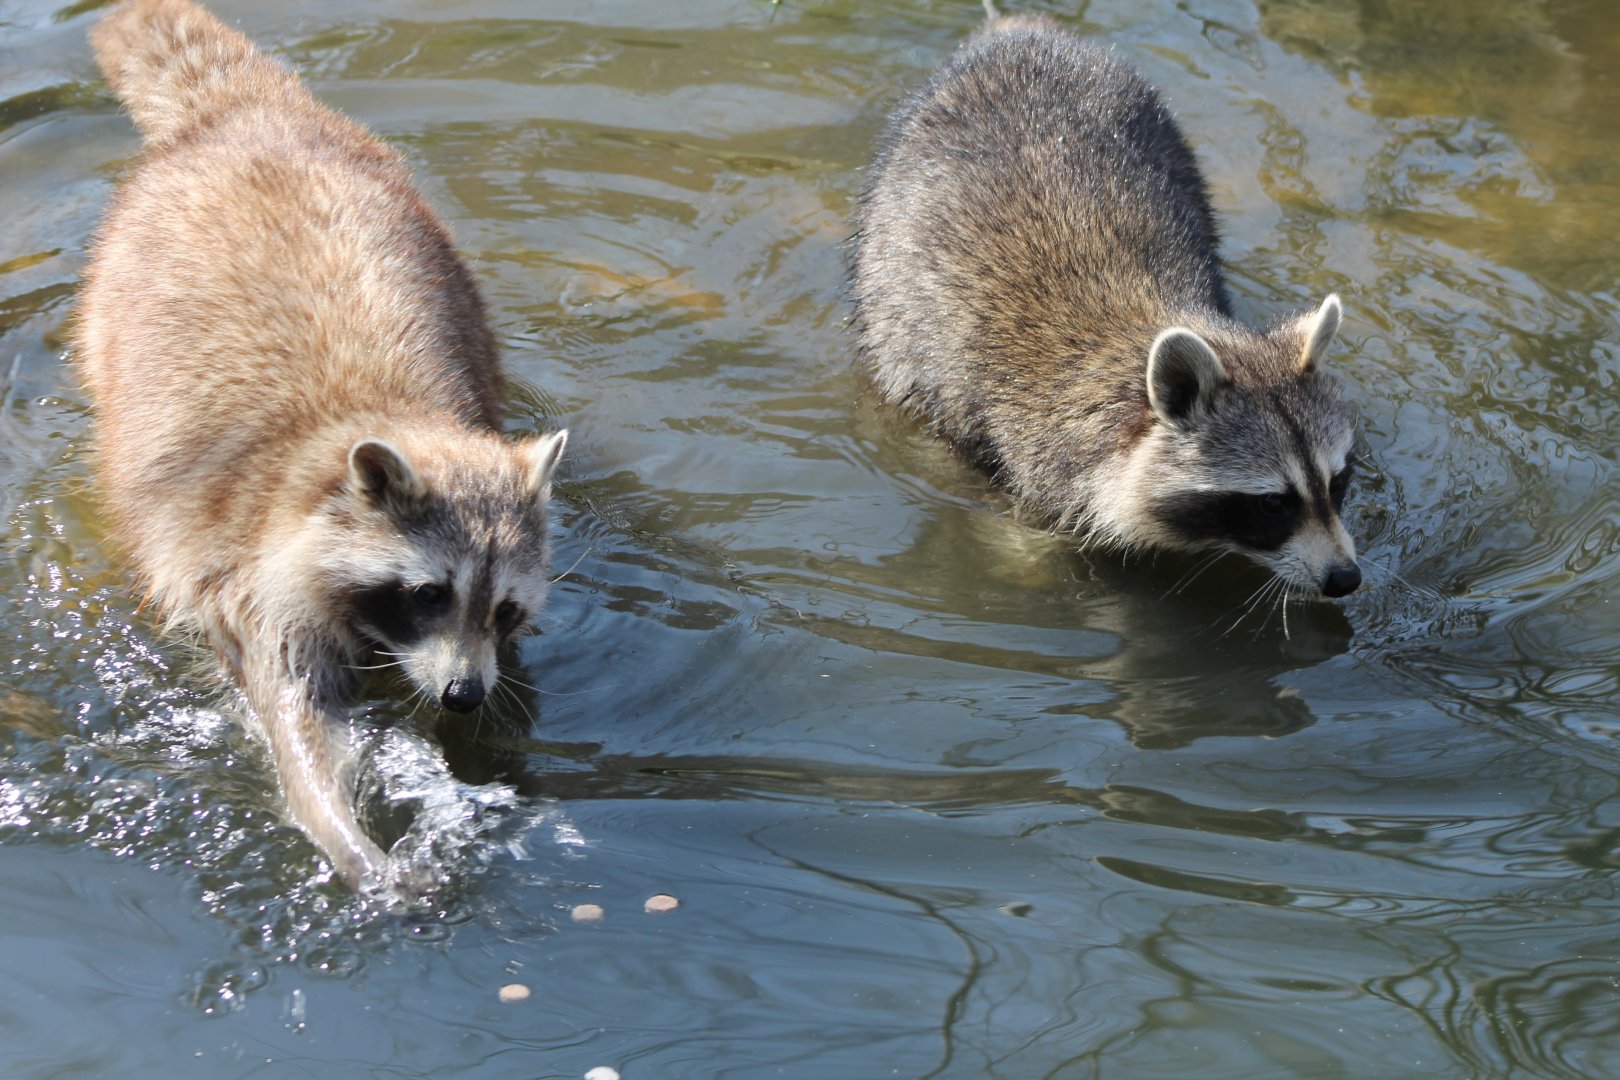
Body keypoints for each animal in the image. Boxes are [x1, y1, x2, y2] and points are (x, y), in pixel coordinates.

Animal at [78, 0, 568, 889]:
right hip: (106, 303)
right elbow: (299, 728)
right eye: (428, 593)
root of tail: (244, 116)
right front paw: (345, 836)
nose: (464, 695)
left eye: (506, 607)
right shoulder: (250, 583)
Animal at [850, 11, 1361, 599]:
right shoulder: (1018, 445)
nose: (1346, 578)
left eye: (1338, 481)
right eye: (1274, 503)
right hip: (886, 253)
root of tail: (1019, 32)